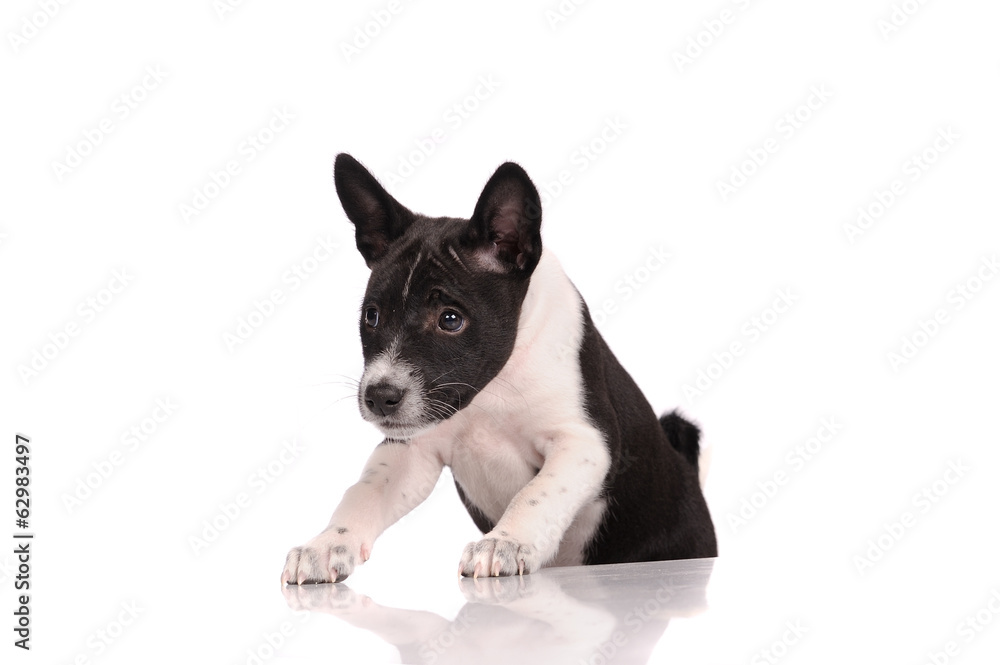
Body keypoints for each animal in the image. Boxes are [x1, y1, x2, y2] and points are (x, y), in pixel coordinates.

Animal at [282, 154, 720, 580]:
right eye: (371, 317)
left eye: (450, 319)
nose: (379, 396)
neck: (492, 389)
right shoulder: (413, 448)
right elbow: (362, 494)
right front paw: (327, 544)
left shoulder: (583, 441)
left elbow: (536, 495)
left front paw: (504, 543)